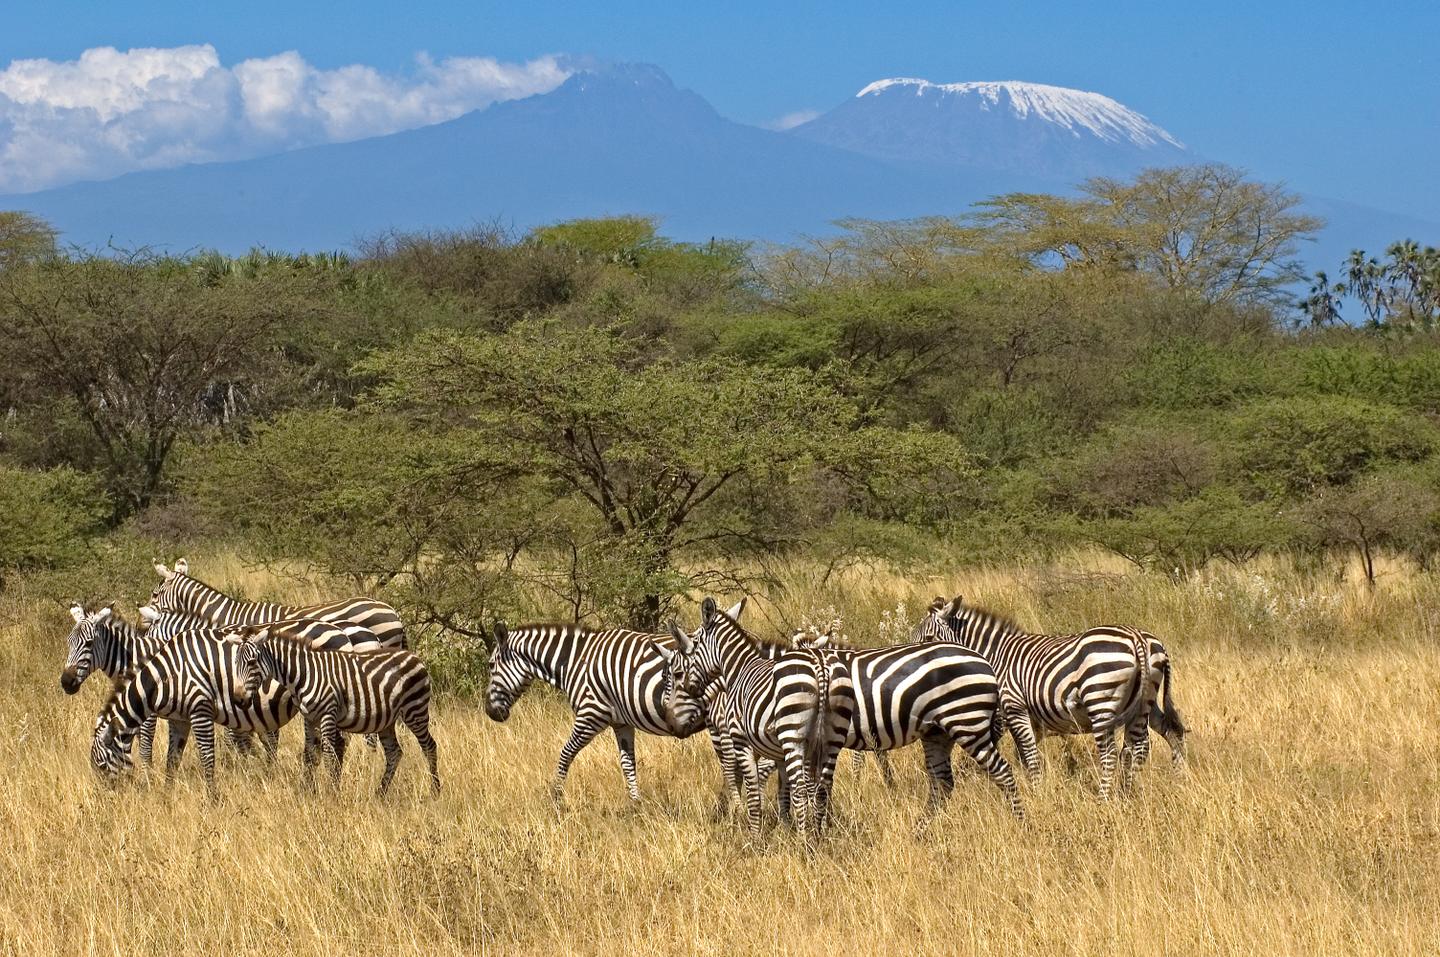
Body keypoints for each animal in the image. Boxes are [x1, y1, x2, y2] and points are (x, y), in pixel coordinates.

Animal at [90, 630, 302, 795]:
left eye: (101, 766)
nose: (105, 801)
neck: (168, 677)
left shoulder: (201, 711)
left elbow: (207, 759)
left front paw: (211, 801)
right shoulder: (180, 721)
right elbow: (172, 760)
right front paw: (167, 797)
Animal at [231, 624, 439, 796]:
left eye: (252, 662)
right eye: (235, 663)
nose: (238, 699)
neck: (304, 674)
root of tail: (414, 656)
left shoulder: (327, 715)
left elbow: (329, 755)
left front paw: (332, 793)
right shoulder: (309, 717)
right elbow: (309, 755)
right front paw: (306, 792)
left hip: (415, 710)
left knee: (429, 746)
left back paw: (435, 792)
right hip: (387, 719)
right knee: (394, 752)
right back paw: (380, 793)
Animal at [484, 616, 715, 804]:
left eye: (491, 665)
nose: (490, 712)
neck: (575, 662)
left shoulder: (591, 714)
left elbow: (565, 754)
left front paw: (556, 799)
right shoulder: (621, 723)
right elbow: (628, 763)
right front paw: (635, 805)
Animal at [659, 597, 854, 840]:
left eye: (692, 651)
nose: (671, 724)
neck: (738, 670)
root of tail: (821, 666)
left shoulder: (739, 739)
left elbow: (752, 788)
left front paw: (754, 835)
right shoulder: (779, 753)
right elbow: (782, 791)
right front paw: (784, 829)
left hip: (793, 736)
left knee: (801, 788)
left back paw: (803, 842)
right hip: (832, 738)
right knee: (822, 788)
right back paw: (817, 838)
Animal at [918, 595, 1180, 799]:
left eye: (928, 638)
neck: (996, 655)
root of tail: (1138, 637)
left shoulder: (1012, 707)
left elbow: (1028, 755)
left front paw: (1035, 792)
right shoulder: (1030, 718)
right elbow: (1024, 755)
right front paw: (1035, 787)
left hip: (1101, 702)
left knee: (1111, 755)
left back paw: (1104, 799)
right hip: (1145, 702)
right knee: (1160, 736)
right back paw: (1147, 788)